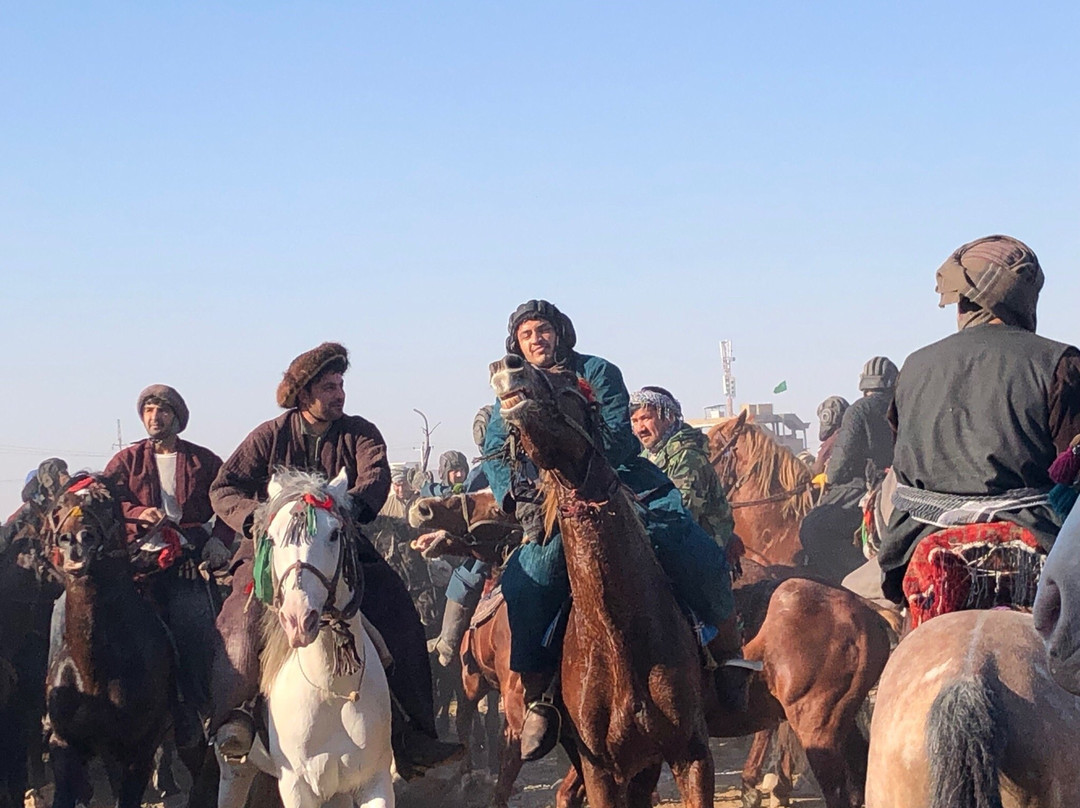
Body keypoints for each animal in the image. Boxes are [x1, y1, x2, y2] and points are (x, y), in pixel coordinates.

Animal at [222, 466, 397, 808]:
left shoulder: (374, 780)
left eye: (334, 534)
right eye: (272, 537)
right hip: (235, 769)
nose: (299, 619)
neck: (331, 691)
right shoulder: (297, 786)